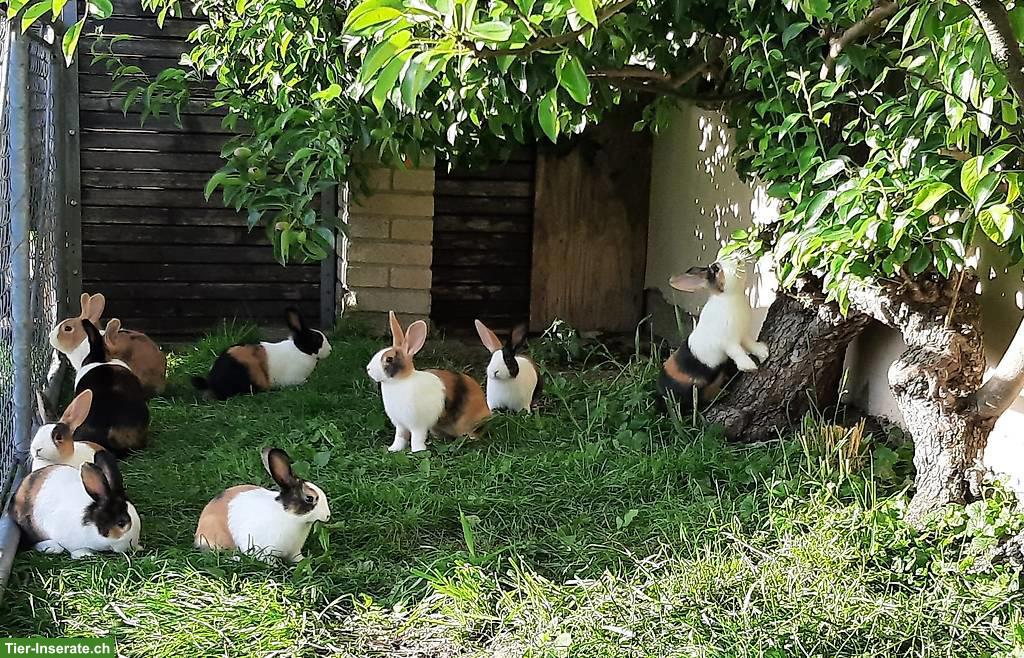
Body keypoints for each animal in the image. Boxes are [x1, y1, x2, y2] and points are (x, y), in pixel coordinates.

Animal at [366, 312, 490, 453]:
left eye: (389, 359)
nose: (368, 369)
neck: (400, 381)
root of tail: (487, 411)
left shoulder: (418, 425)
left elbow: (417, 438)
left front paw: (417, 451)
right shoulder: (401, 425)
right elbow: (400, 437)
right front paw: (393, 449)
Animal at [657, 258, 769, 413]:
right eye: (716, 268)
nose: (738, 260)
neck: (729, 298)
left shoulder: (742, 335)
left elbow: (750, 344)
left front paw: (763, 352)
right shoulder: (729, 342)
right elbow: (737, 352)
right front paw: (749, 366)